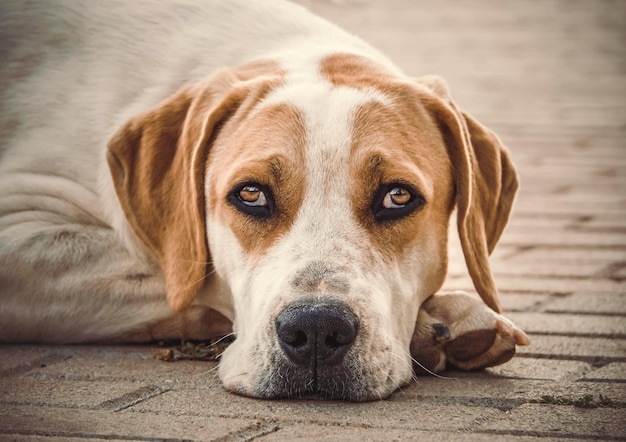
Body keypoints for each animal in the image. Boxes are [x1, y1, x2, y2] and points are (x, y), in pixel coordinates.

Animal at [0, 0, 528, 400]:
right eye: (250, 194)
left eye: (398, 197)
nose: (316, 330)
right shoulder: (19, 230)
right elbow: (182, 278)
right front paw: (436, 323)